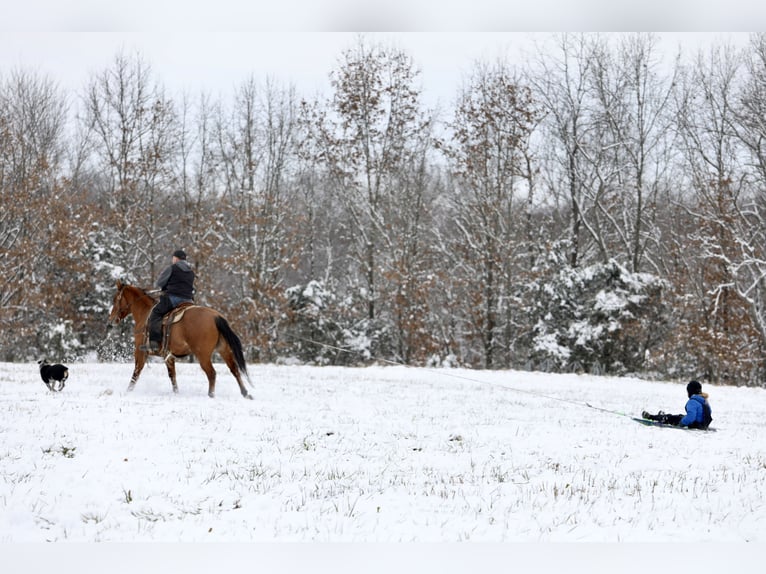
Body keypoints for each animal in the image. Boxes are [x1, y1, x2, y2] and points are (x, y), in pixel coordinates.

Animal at [108, 280, 253, 399]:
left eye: (115, 299)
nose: (111, 321)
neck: (145, 314)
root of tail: (216, 317)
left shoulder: (140, 352)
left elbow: (136, 372)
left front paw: (128, 391)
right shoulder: (169, 356)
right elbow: (172, 376)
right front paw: (176, 393)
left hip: (203, 355)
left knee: (212, 373)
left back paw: (211, 395)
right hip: (225, 350)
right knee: (234, 370)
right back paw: (245, 393)